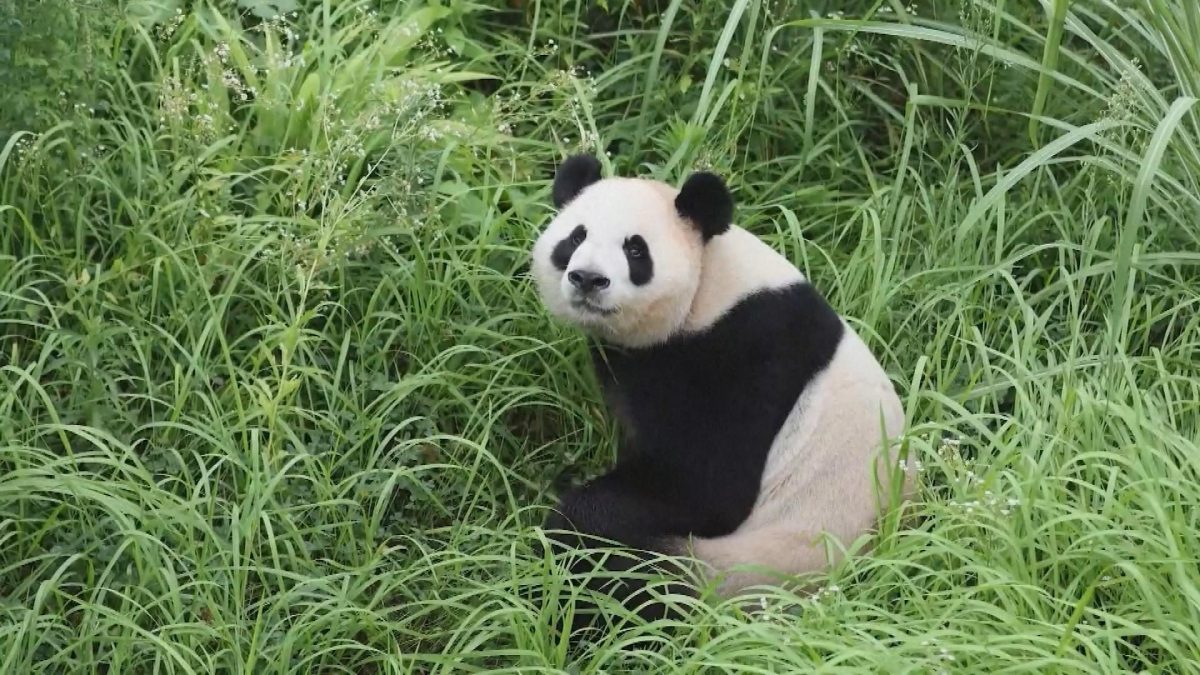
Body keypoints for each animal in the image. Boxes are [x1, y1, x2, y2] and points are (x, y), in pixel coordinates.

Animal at [530, 154, 914, 626]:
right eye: (576, 237)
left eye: (635, 250)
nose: (587, 278)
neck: (709, 289)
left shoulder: (746, 354)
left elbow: (709, 488)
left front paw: (582, 507)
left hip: (742, 568)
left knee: (628, 577)